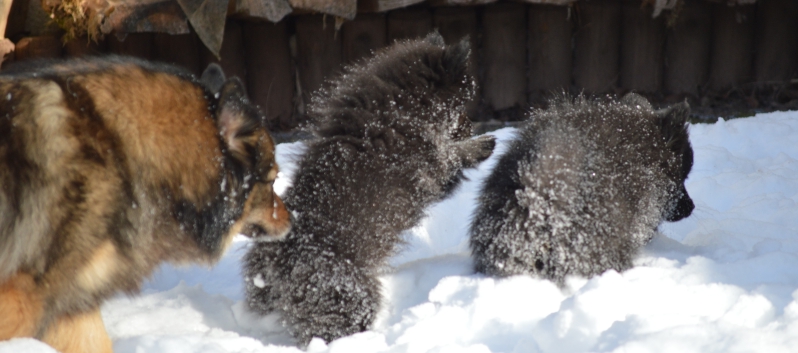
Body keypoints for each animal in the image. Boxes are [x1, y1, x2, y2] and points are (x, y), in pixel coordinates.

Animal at [244, 33, 494, 344]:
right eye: (461, 108)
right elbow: (452, 155)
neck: (399, 109)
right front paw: (481, 145)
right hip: (348, 296)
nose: (472, 126)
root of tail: (274, 261)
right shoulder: (429, 168)